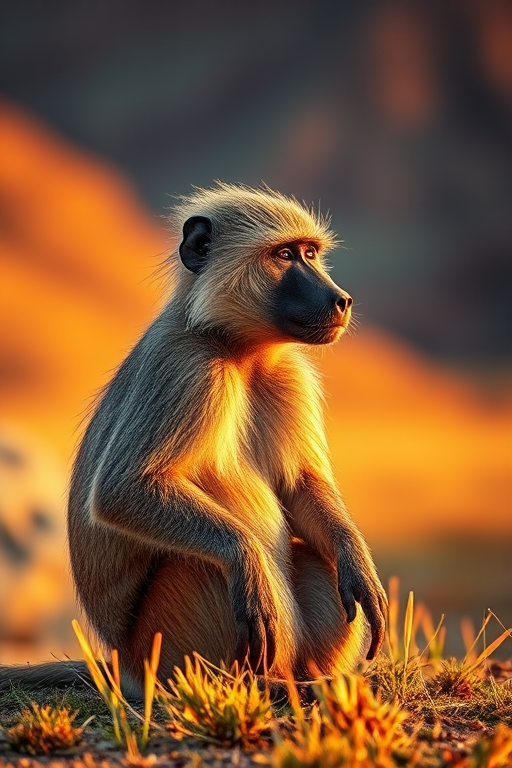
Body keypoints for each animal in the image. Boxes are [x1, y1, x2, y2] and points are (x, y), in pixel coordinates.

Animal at [0, 183, 387, 694]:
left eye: (310, 253)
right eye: (284, 255)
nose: (340, 299)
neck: (238, 350)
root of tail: (121, 663)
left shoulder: (289, 374)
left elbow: (299, 487)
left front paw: (357, 563)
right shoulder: (190, 367)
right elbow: (123, 492)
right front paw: (245, 559)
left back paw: (305, 677)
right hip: (167, 637)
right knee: (221, 545)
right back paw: (260, 681)